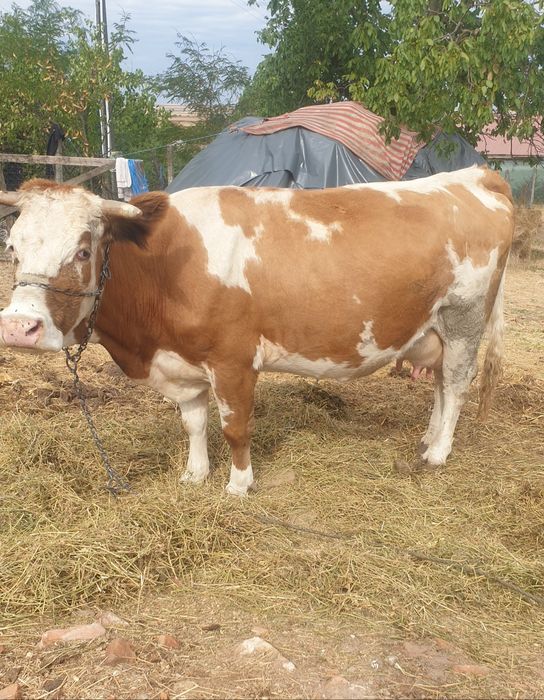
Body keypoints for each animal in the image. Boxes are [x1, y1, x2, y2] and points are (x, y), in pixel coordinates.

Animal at [0, 167, 514, 495]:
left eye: (83, 250)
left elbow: (235, 428)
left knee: (455, 387)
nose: (19, 327)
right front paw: (194, 475)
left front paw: (238, 484)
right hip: (435, 330)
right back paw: (427, 440)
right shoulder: (183, 361)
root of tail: (474, 175)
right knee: (441, 388)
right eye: (13, 248)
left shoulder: (233, 360)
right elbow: (194, 422)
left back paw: (438, 453)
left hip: (464, 320)